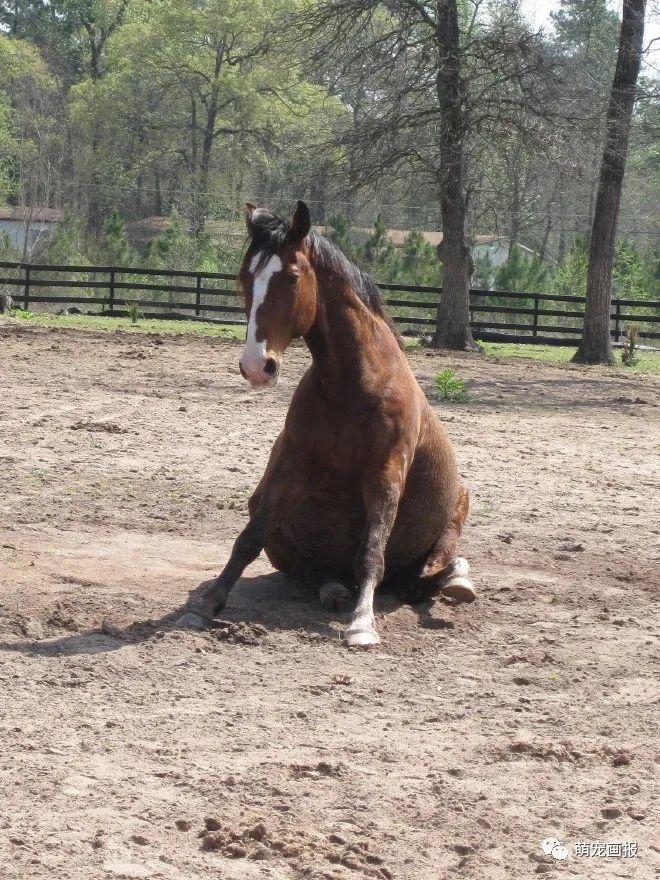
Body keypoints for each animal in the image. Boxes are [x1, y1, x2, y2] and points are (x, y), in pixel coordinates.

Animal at [180, 201, 474, 648]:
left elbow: (371, 552)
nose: (256, 366)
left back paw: (456, 581)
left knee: (436, 568)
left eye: (292, 276)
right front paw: (207, 605)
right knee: (315, 571)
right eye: (246, 277)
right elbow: (248, 540)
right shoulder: (291, 468)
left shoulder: (385, 475)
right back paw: (333, 589)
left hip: (457, 510)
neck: (353, 386)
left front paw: (363, 624)